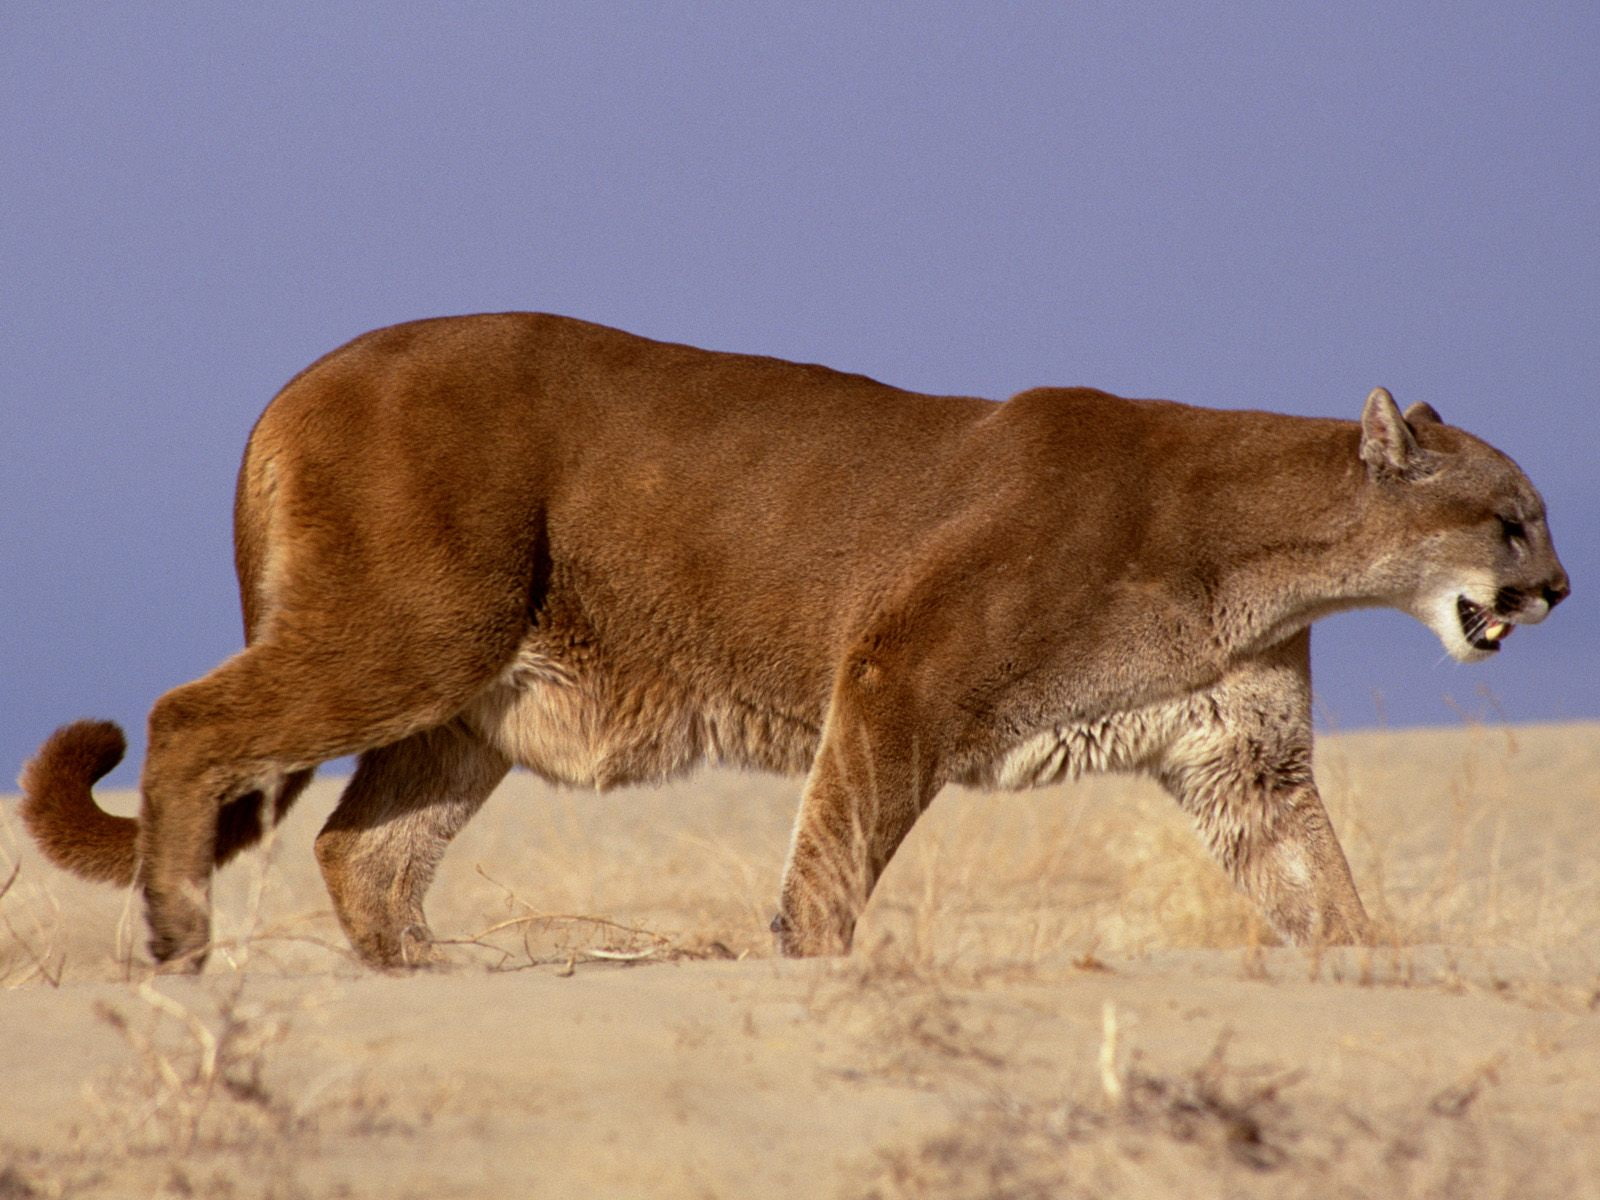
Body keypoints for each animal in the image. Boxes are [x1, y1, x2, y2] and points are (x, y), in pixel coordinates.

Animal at [19, 313, 1570, 969]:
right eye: (1512, 520)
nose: (1558, 590)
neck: (1266, 556)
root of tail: (304, 373)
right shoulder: (897, 678)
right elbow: (834, 858)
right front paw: (812, 970)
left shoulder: (1242, 760)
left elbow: (1320, 884)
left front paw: (1376, 965)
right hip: (412, 631)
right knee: (187, 722)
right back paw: (175, 941)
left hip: (469, 696)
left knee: (361, 846)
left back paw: (431, 973)